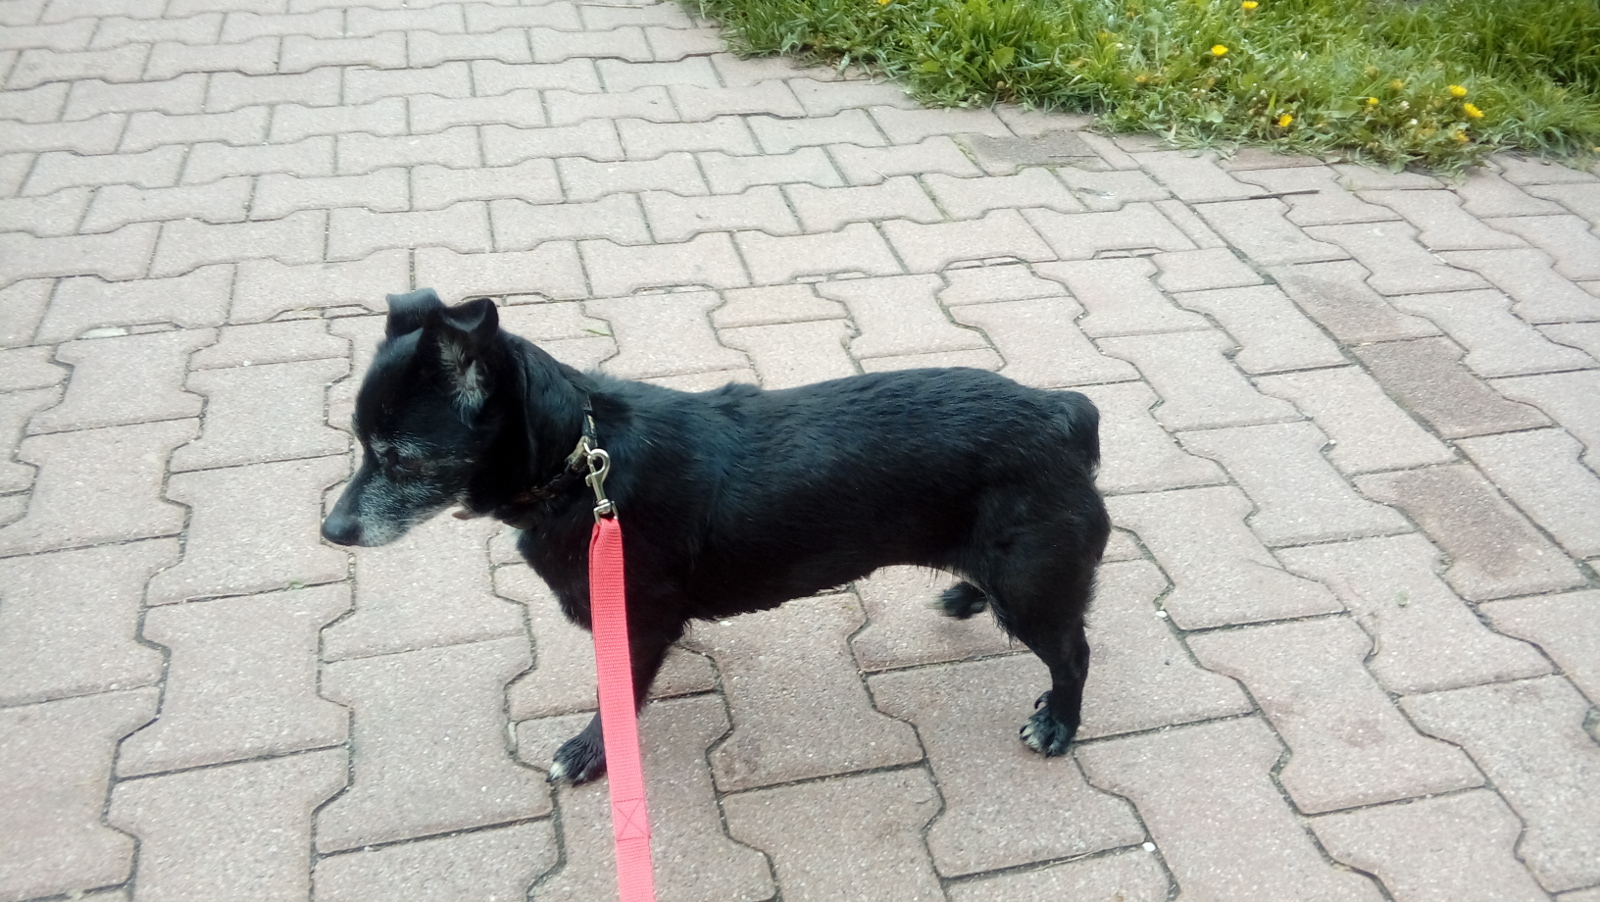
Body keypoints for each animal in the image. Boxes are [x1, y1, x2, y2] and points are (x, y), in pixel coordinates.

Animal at [322, 289, 1110, 784]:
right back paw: (966, 594)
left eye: (401, 459)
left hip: (1034, 585)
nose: (332, 530)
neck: (579, 463)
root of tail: (1064, 414)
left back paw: (1059, 722)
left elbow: (616, 700)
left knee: (1073, 655)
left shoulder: (636, 621)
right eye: (363, 446)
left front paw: (590, 752)